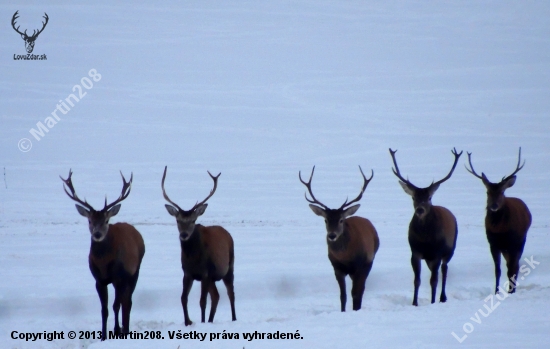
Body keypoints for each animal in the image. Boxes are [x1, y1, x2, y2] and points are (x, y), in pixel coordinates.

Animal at [60, 169, 144, 340]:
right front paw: (103, 336)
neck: (104, 263)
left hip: (135, 271)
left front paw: (117, 331)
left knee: (127, 302)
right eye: (90, 221)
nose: (97, 234)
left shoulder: (119, 276)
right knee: (125, 301)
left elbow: (116, 305)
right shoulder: (99, 280)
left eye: (106, 221)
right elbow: (104, 310)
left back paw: (125, 329)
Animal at [161, 165, 236, 324]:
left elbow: (202, 301)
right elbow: (183, 298)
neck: (193, 258)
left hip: (229, 267)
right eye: (178, 220)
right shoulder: (187, 273)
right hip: (213, 277)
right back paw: (210, 320)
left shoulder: (205, 272)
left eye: (193, 220)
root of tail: (227, 233)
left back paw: (233, 318)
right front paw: (188, 321)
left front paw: (201, 321)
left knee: (230, 293)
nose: (184, 235)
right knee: (216, 296)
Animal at [302, 165, 380, 310]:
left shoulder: (359, 265)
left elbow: (355, 293)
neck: (345, 257)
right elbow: (343, 296)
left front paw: (355, 309)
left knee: (361, 289)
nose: (332, 235)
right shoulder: (337, 268)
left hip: (369, 260)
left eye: (341, 220)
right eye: (326, 220)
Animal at [390, 147, 464, 304]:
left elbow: (433, 281)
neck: (425, 240)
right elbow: (417, 281)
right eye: (413, 197)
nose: (420, 210)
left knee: (444, 270)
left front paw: (432, 302)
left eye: (429, 197)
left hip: (450, 250)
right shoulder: (415, 252)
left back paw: (442, 297)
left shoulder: (437, 254)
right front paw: (414, 303)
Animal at [468, 147, 532, 294]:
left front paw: (511, 292)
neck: (499, 229)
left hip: (521, 240)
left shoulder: (513, 242)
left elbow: (512, 268)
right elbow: (497, 270)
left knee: (515, 266)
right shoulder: (493, 243)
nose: (494, 205)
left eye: (502, 192)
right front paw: (496, 291)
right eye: (487, 192)